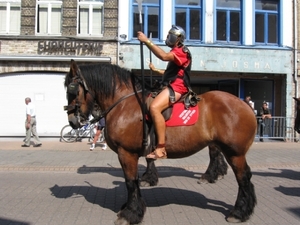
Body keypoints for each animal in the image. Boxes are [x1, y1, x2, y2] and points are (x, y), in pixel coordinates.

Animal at [64, 60, 256, 225]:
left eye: (72, 89)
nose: (73, 121)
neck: (124, 103)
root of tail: (245, 105)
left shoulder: (126, 153)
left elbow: (130, 182)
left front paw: (130, 213)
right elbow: (138, 175)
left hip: (235, 153)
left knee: (243, 177)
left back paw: (239, 212)